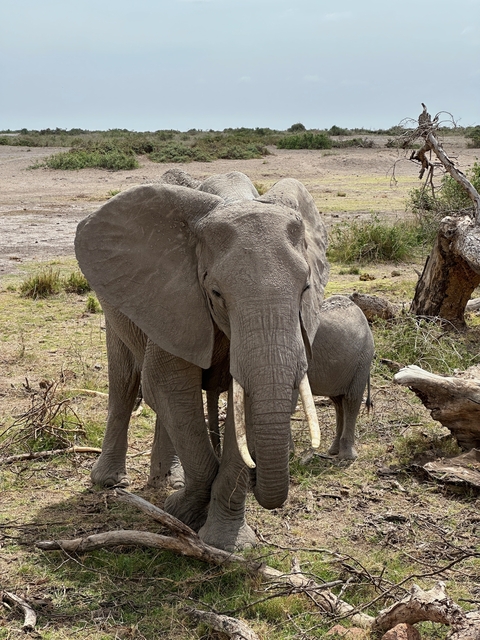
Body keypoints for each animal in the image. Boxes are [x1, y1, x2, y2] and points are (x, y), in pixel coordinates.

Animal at [75, 170, 329, 550]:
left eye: (306, 289)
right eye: (216, 293)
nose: (260, 481)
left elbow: (243, 404)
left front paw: (228, 543)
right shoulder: (173, 297)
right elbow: (165, 383)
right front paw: (181, 513)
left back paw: (169, 477)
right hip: (115, 302)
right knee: (124, 383)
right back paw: (110, 482)